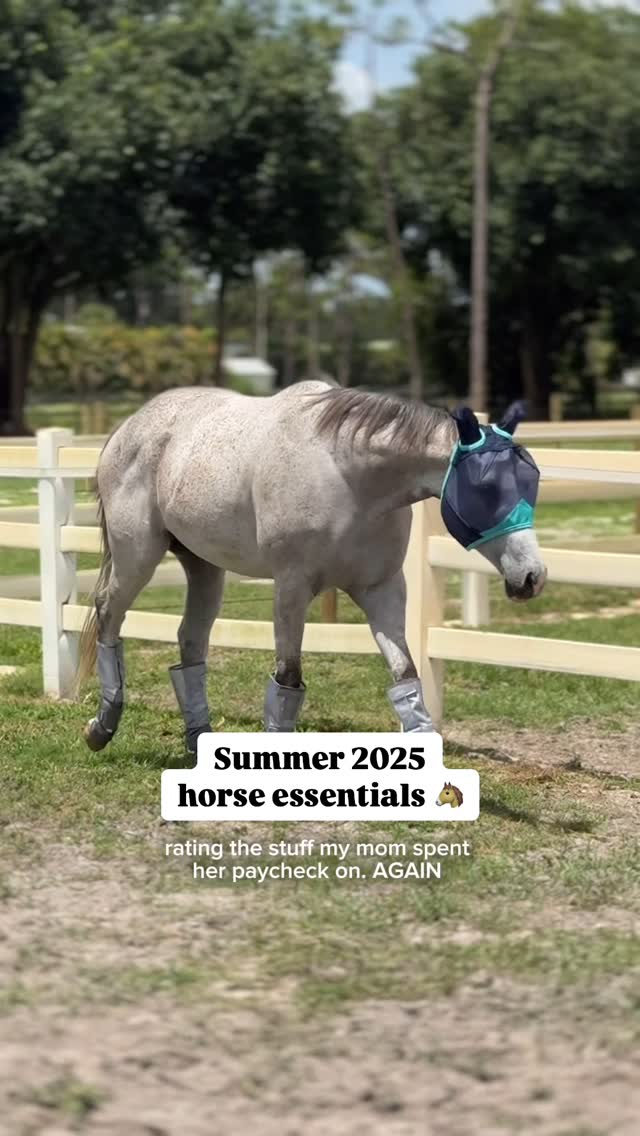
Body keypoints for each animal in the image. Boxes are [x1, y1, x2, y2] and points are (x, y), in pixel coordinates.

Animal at [76, 380, 546, 751]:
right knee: (108, 614)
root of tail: (128, 427)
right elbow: (288, 678)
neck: (348, 477)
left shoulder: (382, 590)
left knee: (190, 643)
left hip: (205, 568)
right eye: (486, 488)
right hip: (137, 557)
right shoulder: (291, 587)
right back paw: (102, 726)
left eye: (532, 480)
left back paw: (197, 742)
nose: (532, 577)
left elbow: (406, 676)